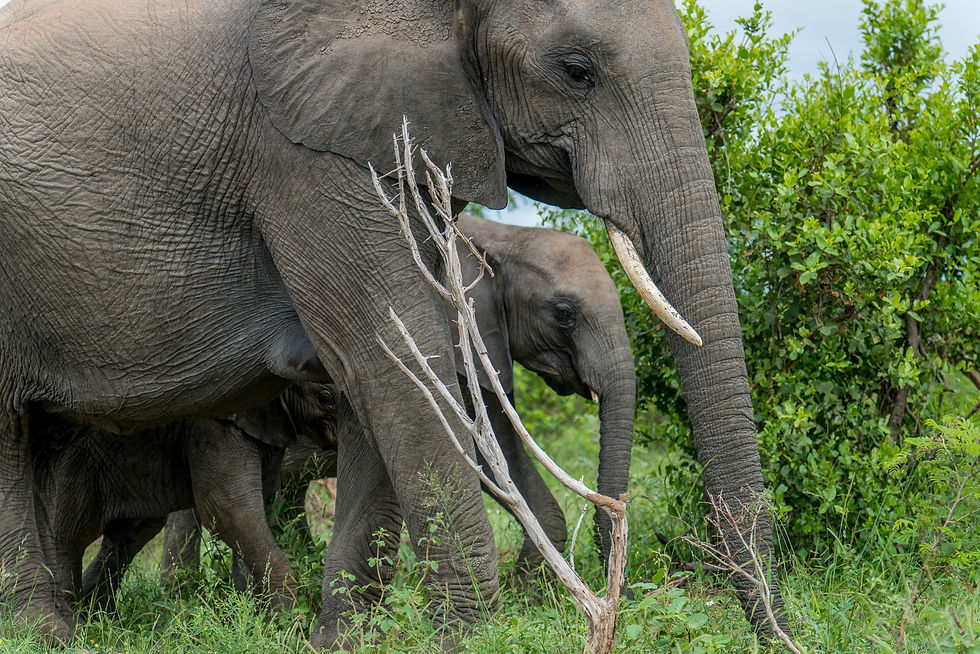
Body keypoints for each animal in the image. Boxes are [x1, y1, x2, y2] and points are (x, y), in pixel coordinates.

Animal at [30, 382, 336, 618]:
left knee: (131, 534)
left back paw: (101, 618)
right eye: (326, 398)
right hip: (70, 462)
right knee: (70, 536)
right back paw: (74, 621)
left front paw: (247, 613)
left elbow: (260, 514)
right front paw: (287, 621)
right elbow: (228, 513)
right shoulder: (213, 428)